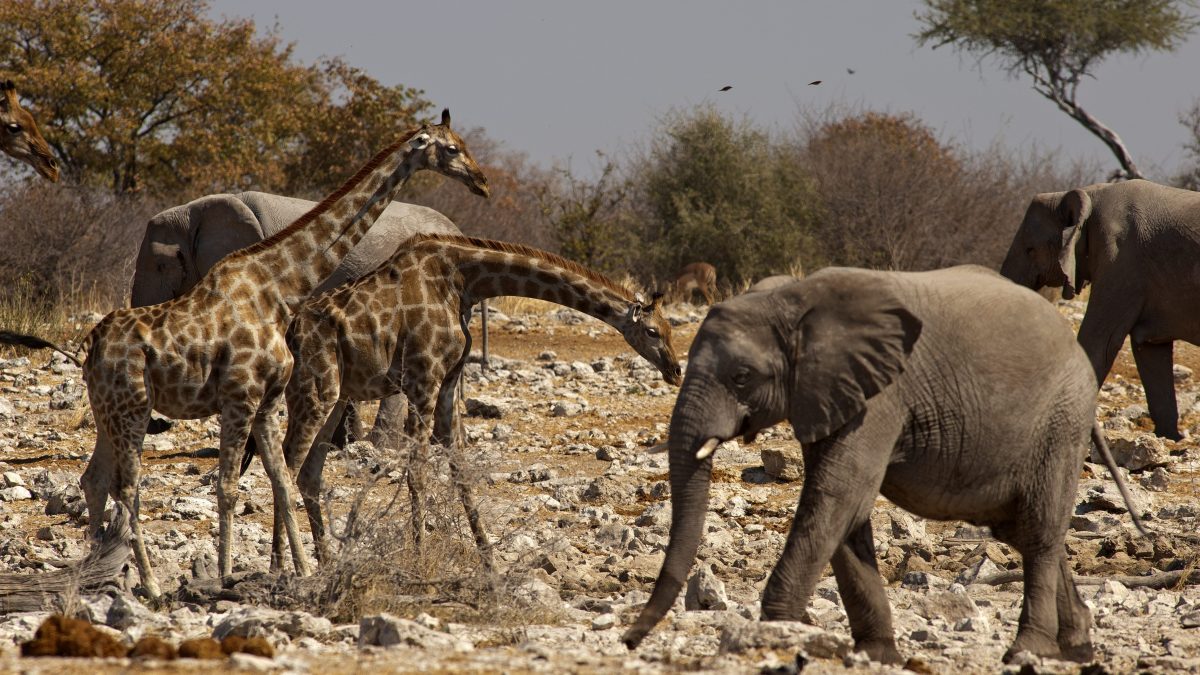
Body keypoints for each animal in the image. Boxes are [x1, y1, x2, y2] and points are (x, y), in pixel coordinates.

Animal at [269, 234, 684, 566]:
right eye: (652, 331)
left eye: (669, 328)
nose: (675, 370)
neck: (464, 281)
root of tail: (289, 332)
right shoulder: (423, 376)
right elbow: (418, 471)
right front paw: (420, 560)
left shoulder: (448, 380)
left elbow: (460, 469)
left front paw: (491, 564)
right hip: (314, 389)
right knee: (285, 465)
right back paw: (289, 568)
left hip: (337, 396)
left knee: (308, 472)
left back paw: (324, 565)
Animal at [623, 265, 1143, 664]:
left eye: (742, 377)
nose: (628, 641)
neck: (794, 298)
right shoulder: (828, 394)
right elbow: (845, 513)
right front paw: (877, 656)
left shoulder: (880, 397)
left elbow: (838, 496)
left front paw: (774, 636)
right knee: (1026, 531)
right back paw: (1076, 650)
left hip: (1062, 420)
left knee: (1038, 531)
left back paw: (1026, 653)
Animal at [1000, 179, 1200, 441]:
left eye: (1030, 249)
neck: (1091, 194)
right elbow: (1149, 350)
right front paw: (1168, 438)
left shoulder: (1121, 260)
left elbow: (1099, 343)